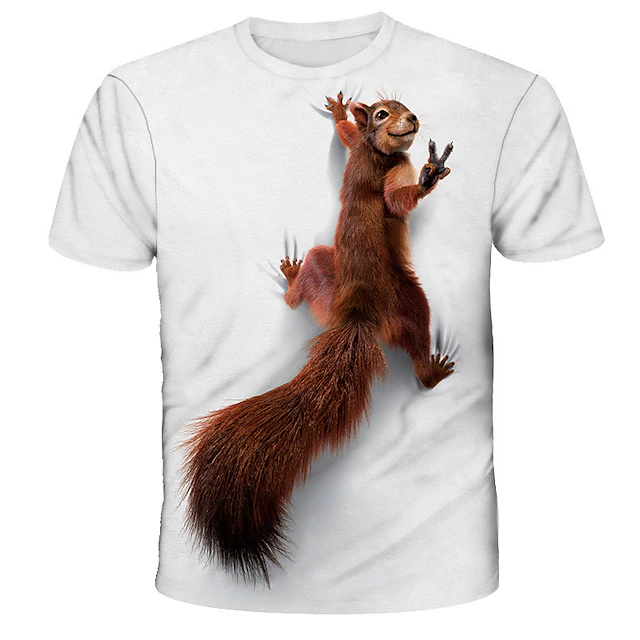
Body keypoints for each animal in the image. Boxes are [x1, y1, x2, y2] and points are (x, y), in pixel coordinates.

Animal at [181, 92, 455, 586]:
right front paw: (428, 175)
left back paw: (293, 281)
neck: (376, 151)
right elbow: (397, 202)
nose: (412, 119)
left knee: (302, 293)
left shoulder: (359, 150)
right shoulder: (392, 171)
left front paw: (340, 113)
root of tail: (356, 318)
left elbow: (345, 138)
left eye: (402, 105)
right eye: (383, 113)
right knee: (418, 342)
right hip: (408, 300)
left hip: (323, 275)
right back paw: (431, 370)